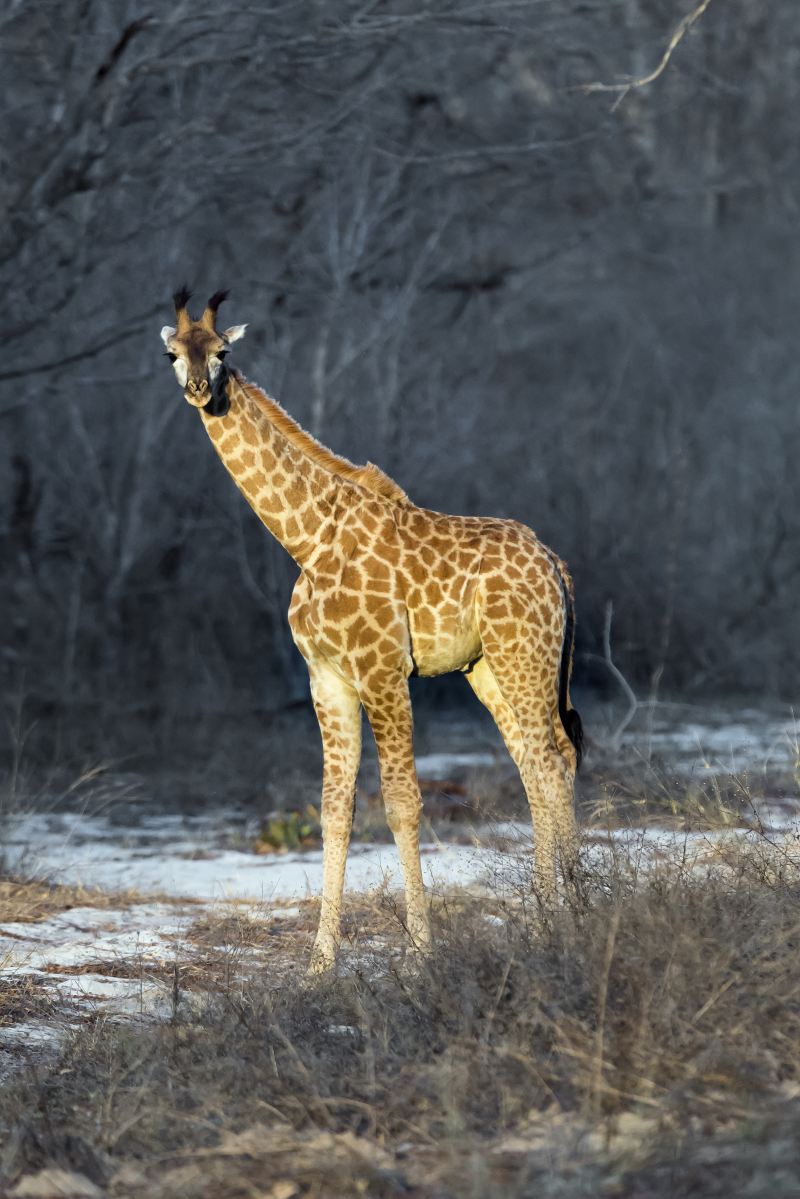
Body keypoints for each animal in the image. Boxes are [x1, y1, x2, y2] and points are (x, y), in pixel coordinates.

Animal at [160, 287, 582, 973]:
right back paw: (557, 915)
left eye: (222, 352)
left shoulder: (383, 672)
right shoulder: (326, 677)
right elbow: (335, 809)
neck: (308, 539)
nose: (199, 388)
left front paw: (419, 955)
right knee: (539, 761)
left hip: (527, 655)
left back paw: (568, 921)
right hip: (489, 668)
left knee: (550, 761)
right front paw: (319, 966)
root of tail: (555, 564)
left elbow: (403, 802)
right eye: (175, 353)